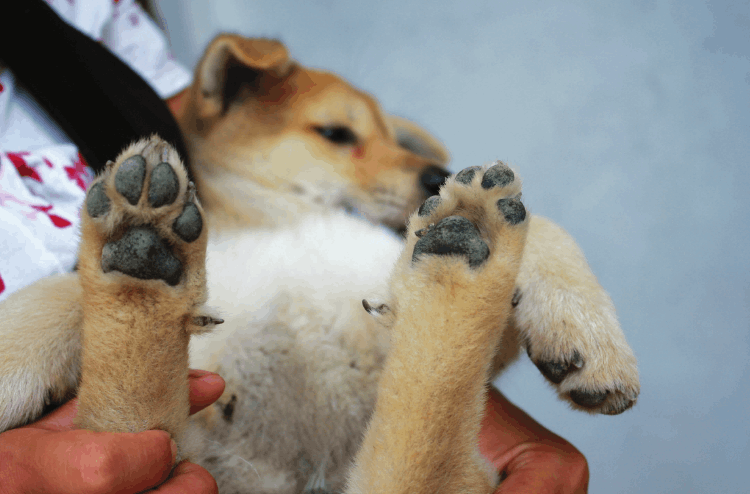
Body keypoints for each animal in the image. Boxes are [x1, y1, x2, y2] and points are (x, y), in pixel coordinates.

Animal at [0, 35, 640, 494]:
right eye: (337, 133)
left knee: (419, 439)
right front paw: (14, 356)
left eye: (396, 139)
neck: (287, 226)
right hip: (178, 447)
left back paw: (467, 237)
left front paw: (584, 327)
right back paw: (142, 249)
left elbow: (546, 230)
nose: (437, 174)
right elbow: (61, 291)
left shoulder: (377, 313)